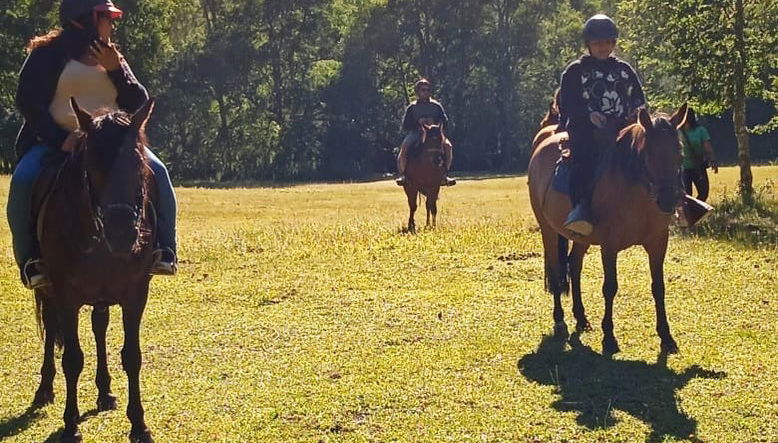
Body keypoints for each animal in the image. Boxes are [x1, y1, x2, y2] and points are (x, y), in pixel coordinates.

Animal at [34, 97, 158, 443]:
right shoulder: (66, 294)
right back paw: (44, 390)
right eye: (92, 166)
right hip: (48, 290)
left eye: (138, 164)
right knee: (51, 326)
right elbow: (72, 359)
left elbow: (132, 356)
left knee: (99, 327)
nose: (122, 233)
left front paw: (138, 424)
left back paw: (105, 392)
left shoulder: (135, 294)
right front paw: (70, 425)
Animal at [528, 104, 688, 355]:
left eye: (680, 155)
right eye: (648, 155)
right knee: (556, 271)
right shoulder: (609, 245)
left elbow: (658, 287)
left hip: (580, 238)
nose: (669, 200)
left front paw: (666, 337)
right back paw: (560, 320)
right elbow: (610, 287)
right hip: (548, 230)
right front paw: (610, 337)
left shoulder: (658, 242)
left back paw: (581, 318)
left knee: (574, 265)